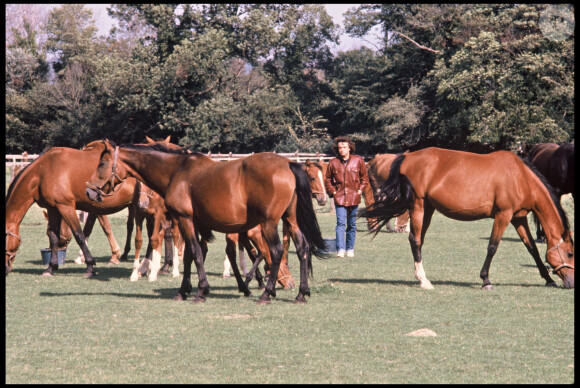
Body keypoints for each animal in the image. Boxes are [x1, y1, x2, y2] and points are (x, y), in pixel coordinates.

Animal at [85, 139, 326, 304]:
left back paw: (266, 293)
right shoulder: (195, 223)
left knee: (275, 252)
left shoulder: (185, 220)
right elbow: (190, 255)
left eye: (102, 163)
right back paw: (301, 293)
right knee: (303, 249)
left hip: (268, 224)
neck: (176, 171)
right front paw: (184, 290)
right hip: (291, 220)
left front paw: (200, 291)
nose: (89, 190)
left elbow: (195, 253)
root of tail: (288, 164)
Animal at [364, 147, 572, 290]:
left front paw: (549, 279)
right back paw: (424, 281)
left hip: (428, 209)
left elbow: (533, 249)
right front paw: (486, 280)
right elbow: (492, 247)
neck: (520, 177)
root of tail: (407, 157)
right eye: (570, 253)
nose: (571, 283)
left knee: (419, 240)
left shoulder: (518, 218)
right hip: (418, 206)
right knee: (414, 240)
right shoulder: (503, 215)